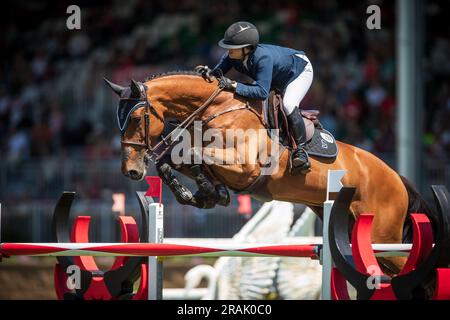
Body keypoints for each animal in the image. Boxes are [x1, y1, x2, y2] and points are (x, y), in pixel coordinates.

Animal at [103, 70, 434, 276]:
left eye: (136, 118)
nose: (130, 170)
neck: (215, 110)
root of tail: (398, 178)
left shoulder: (245, 168)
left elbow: (196, 156)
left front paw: (210, 192)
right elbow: (174, 159)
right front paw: (200, 193)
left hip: (382, 236)